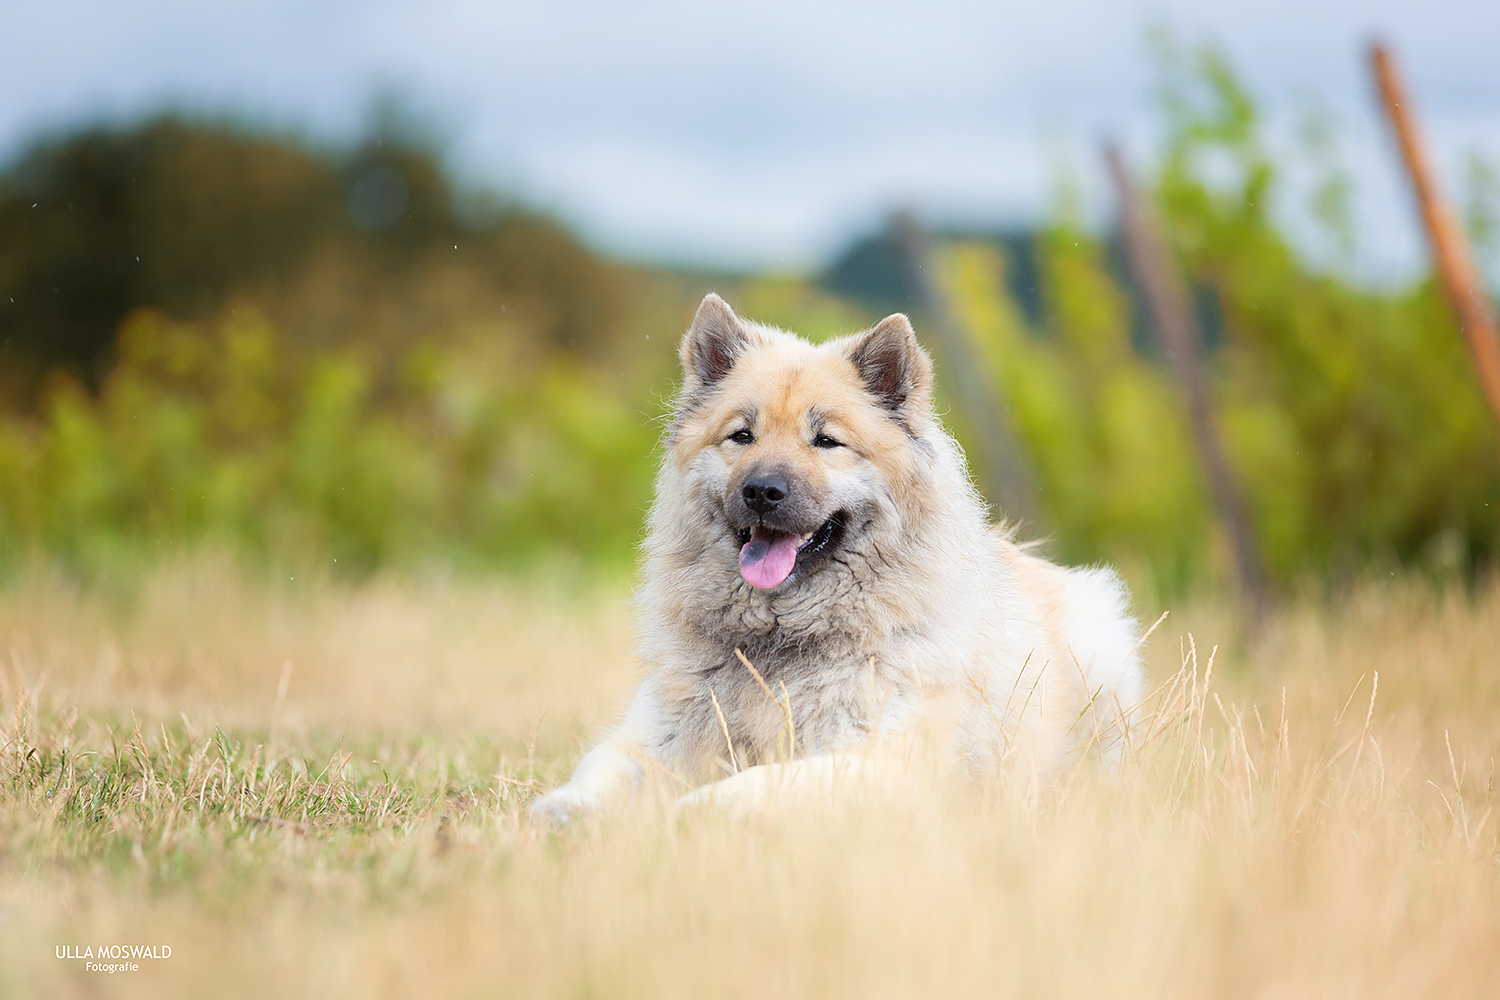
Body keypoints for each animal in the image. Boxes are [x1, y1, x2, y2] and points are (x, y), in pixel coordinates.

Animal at [534, 293, 1140, 827]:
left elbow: (762, 782)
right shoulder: (659, 733)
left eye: (826, 441)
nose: (761, 491)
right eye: (742, 436)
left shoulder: (882, 761)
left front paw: (696, 811)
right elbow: (604, 768)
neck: (780, 642)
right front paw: (563, 810)